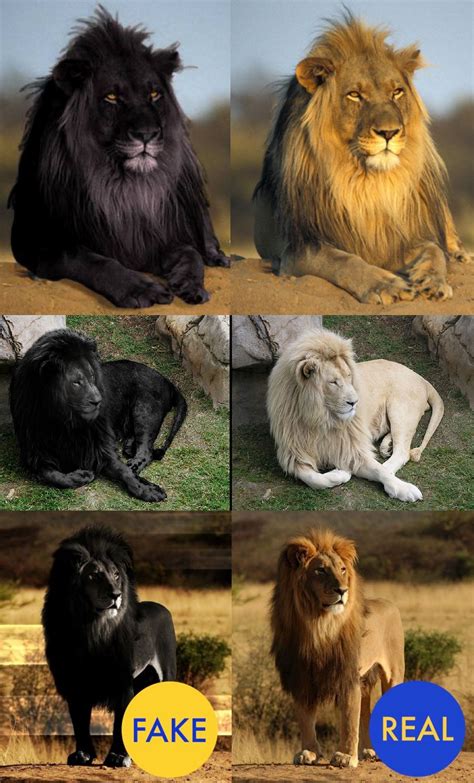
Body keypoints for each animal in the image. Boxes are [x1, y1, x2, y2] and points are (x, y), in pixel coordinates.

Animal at [9, 7, 228, 308]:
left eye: (154, 94)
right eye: (112, 97)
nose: (147, 134)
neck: (123, 189)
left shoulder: (156, 234)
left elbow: (190, 252)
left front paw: (191, 285)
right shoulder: (34, 237)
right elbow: (89, 258)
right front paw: (141, 290)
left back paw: (218, 257)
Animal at [254, 13, 469, 304]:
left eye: (397, 92)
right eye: (355, 95)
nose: (389, 132)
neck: (366, 184)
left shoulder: (398, 237)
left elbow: (433, 250)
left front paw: (433, 281)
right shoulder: (298, 247)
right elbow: (342, 260)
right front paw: (386, 285)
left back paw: (460, 255)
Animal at [267, 328, 444, 502]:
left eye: (349, 376)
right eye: (333, 382)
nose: (355, 402)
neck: (320, 419)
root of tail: (420, 377)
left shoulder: (351, 449)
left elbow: (377, 470)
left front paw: (403, 489)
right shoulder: (294, 454)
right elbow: (313, 479)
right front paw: (340, 474)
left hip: (400, 409)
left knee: (402, 453)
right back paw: (386, 446)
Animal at [271, 529, 405, 768]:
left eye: (342, 569)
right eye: (320, 570)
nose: (342, 590)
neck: (318, 625)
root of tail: (389, 603)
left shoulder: (347, 675)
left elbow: (349, 718)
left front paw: (345, 756)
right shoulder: (301, 675)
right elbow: (305, 717)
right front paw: (308, 752)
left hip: (393, 672)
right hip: (365, 680)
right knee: (365, 710)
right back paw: (368, 751)